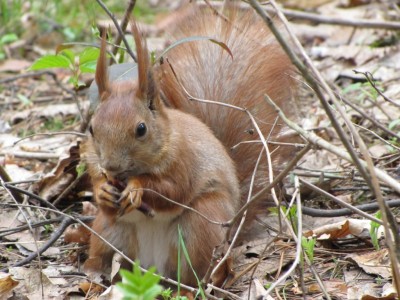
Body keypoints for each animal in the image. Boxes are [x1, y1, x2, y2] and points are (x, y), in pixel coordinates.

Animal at [82, 2, 294, 288]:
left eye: (141, 129)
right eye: (92, 128)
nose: (111, 166)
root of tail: (153, 269)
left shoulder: (184, 160)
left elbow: (173, 189)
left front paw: (137, 188)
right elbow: (97, 185)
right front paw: (103, 189)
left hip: (200, 227)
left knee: (197, 273)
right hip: (109, 231)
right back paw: (96, 275)